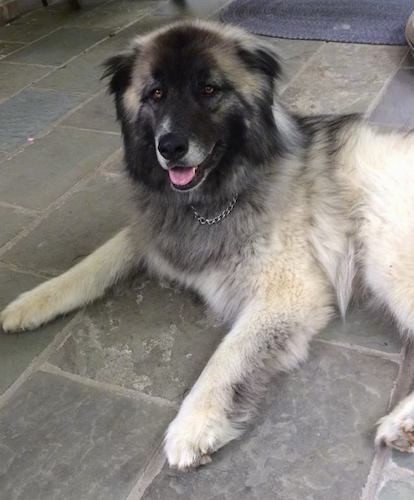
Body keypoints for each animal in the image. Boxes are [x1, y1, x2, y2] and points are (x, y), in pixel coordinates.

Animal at [2, 20, 414, 472]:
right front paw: (32, 302)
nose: (170, 147)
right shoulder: (155, 231)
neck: (210, 202)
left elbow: (227, 356)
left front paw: (195, 423)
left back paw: (403, 424)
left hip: (385, 248)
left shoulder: (287, 293)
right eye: (156, 93)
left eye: (209, 90)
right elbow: (94, 262)